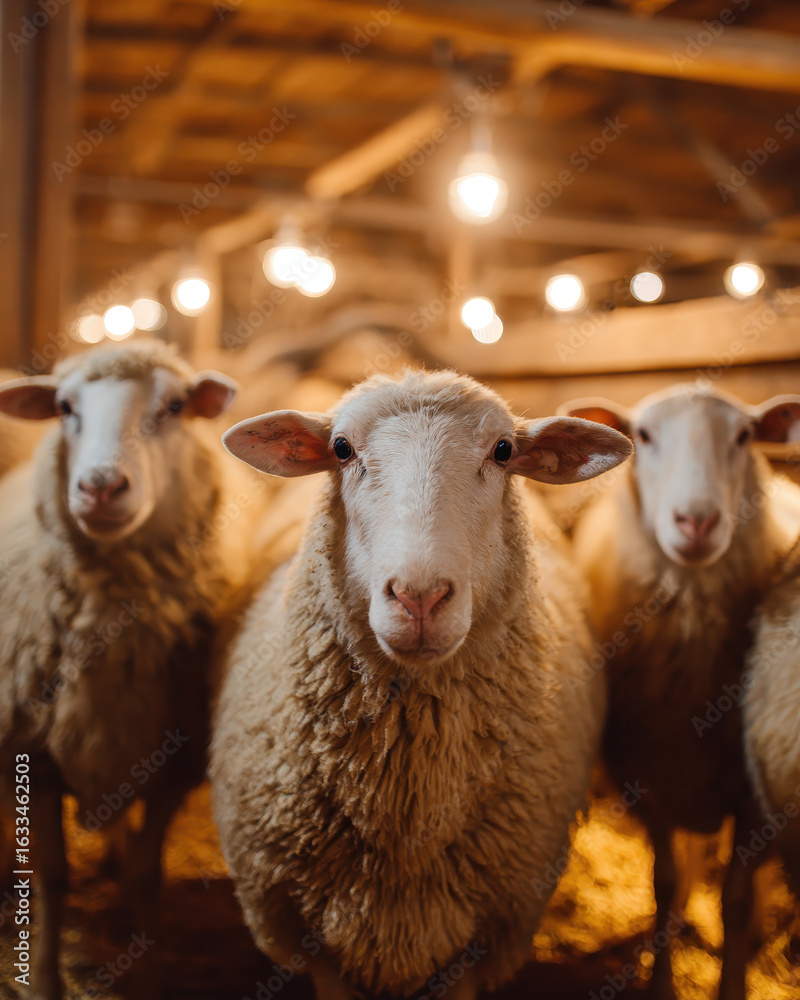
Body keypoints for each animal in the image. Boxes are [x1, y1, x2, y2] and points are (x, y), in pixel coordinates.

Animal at [0, 339, 257, 1000]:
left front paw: (147, 973)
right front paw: (44, 980)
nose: (100, 486)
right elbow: (52, 877)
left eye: (173, 407)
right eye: (64, 408)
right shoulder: (34, 755)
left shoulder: (175, 761)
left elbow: (146, 871)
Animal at [561, 384, 800, 1000]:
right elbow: (664, 883)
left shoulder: (754, 794)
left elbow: (736, 900)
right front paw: (661, 980)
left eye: (743, 436)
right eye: (643, 435)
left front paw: (733, 979)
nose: (696, 520)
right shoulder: (641, 773)